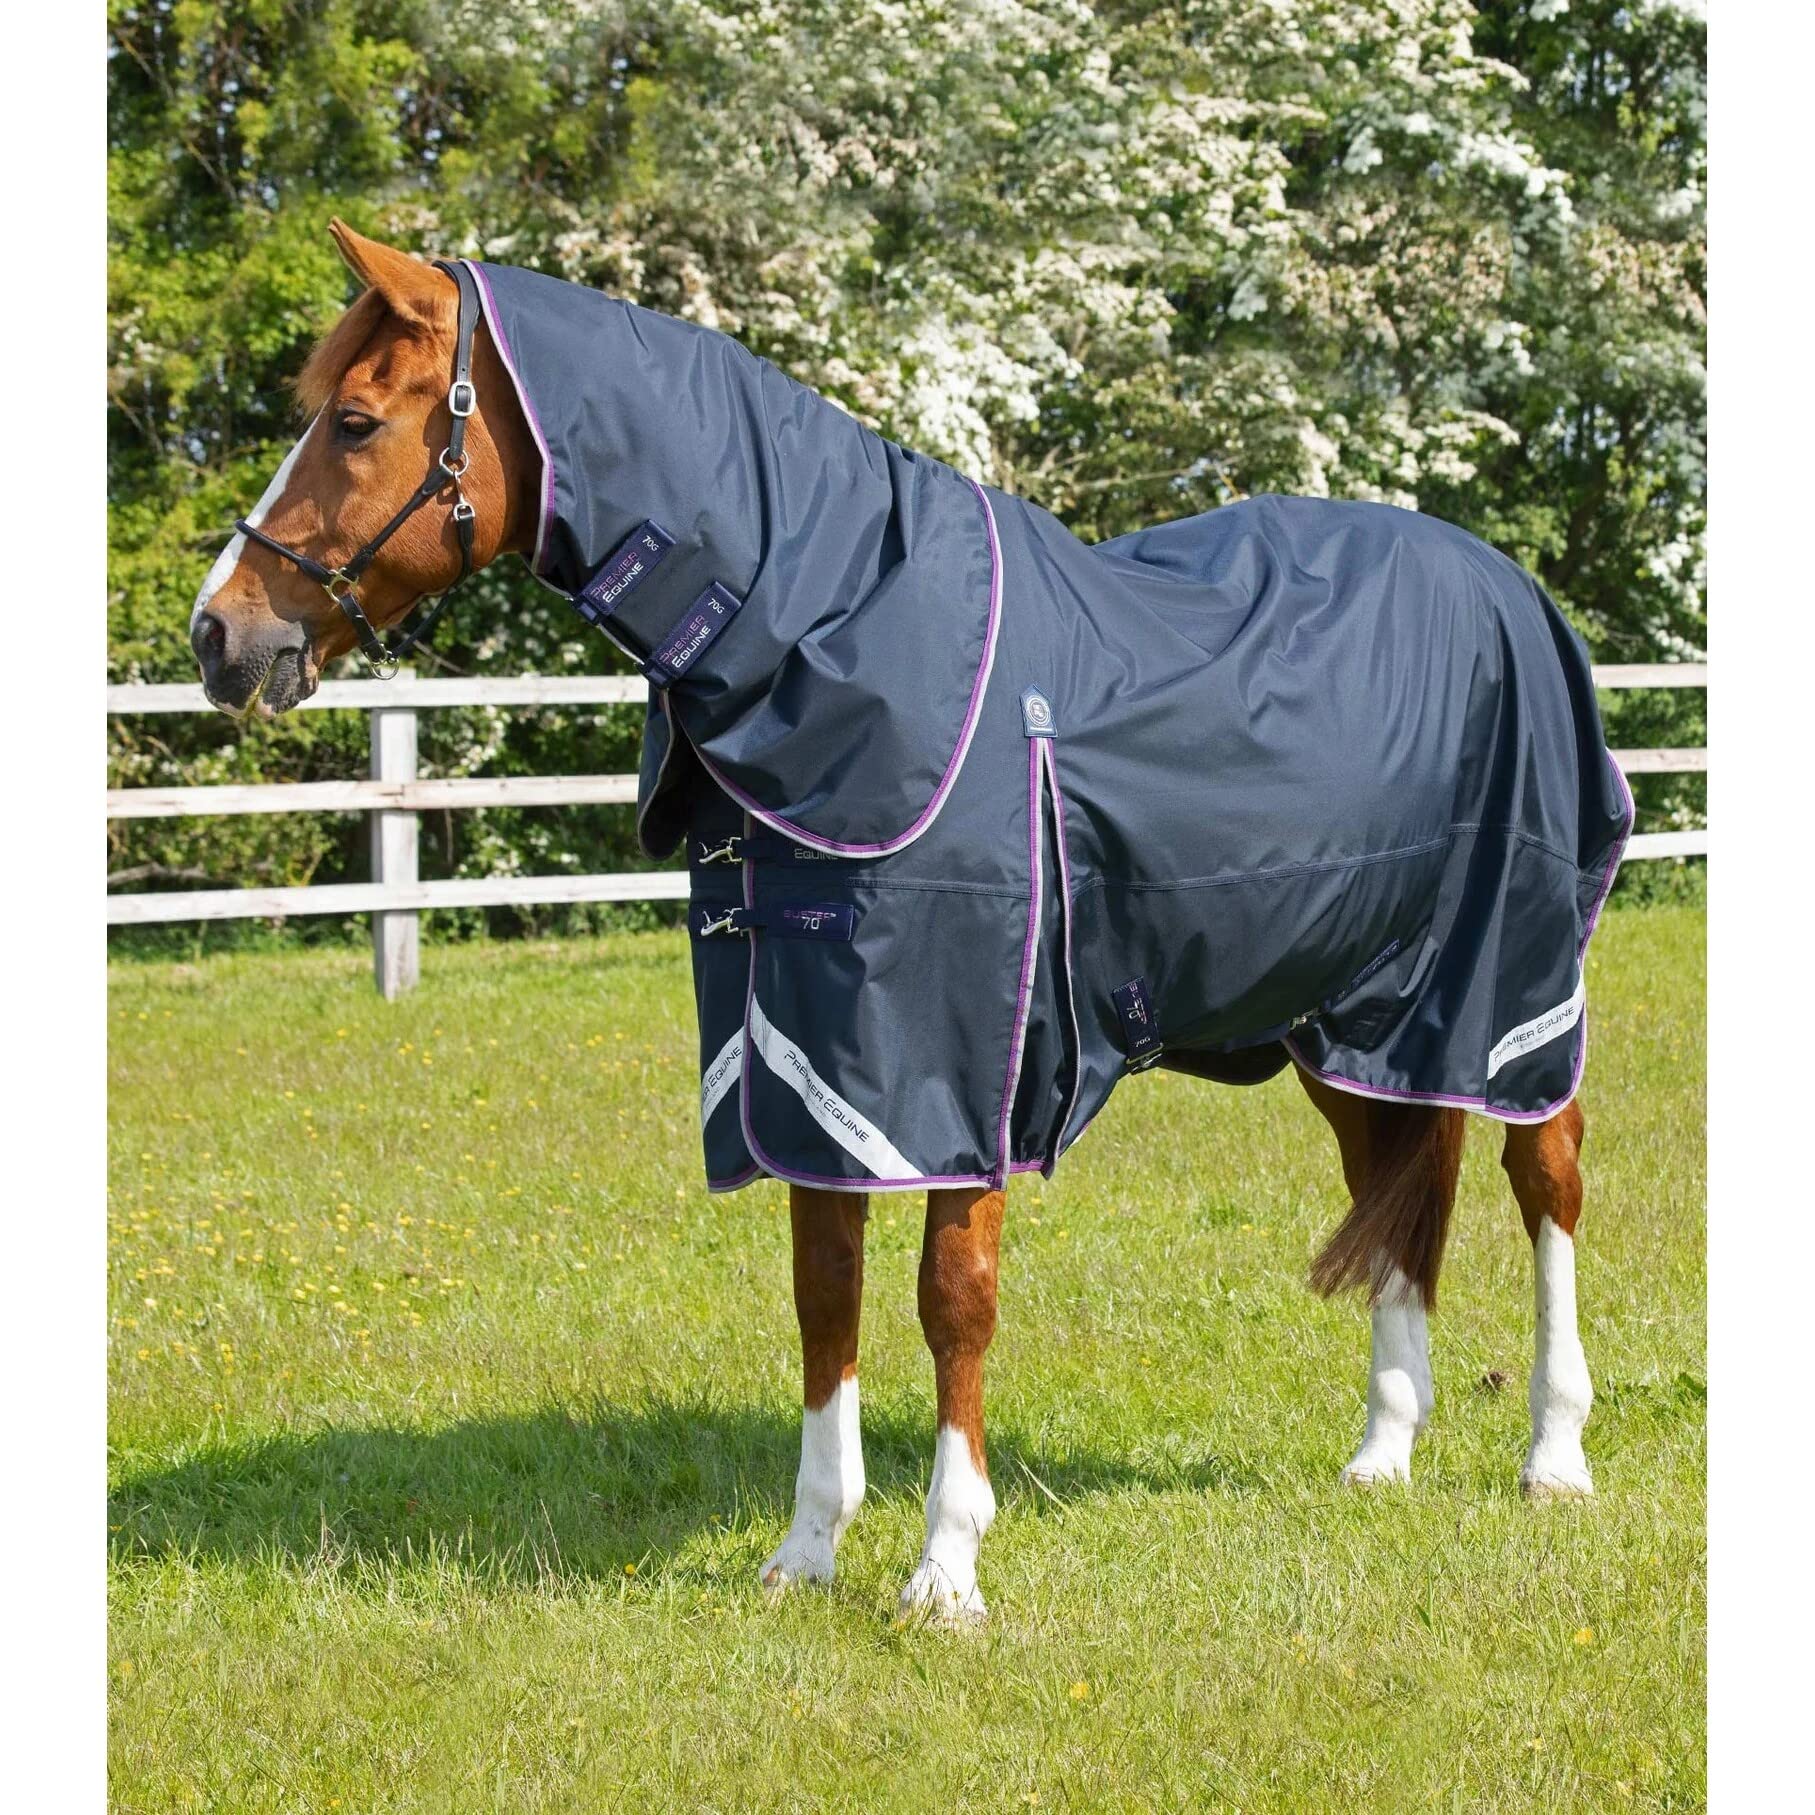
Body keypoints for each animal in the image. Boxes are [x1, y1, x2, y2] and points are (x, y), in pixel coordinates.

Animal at [192, 222, 1616, 1623]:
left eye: (357, 423)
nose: (220, 633)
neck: (834, 630)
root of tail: (1513, 591)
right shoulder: (803, 1064)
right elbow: (825, 1297)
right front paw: (807, 1553)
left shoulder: (959, 1066)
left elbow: (952, 1303)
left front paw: (946, 1569)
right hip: (1351, 1020)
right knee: (1398, 1191)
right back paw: (1383, 1452)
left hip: (1509, 996)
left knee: (1545, 1183)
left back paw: (1554, 1456)